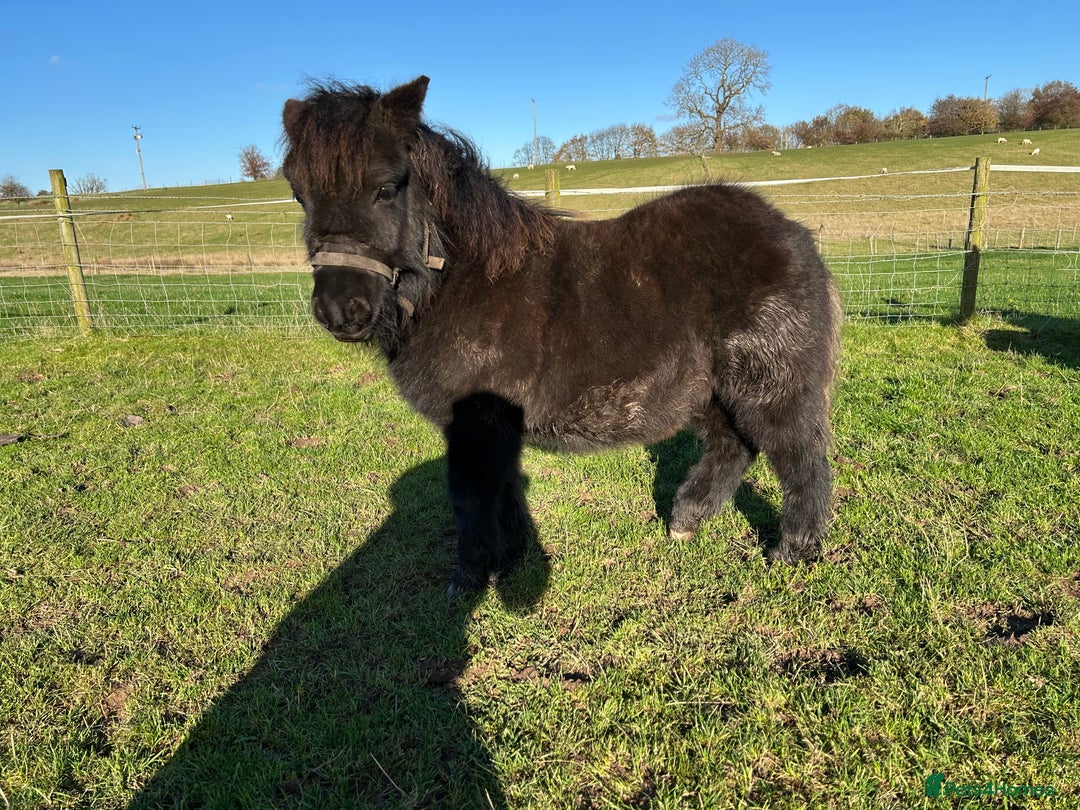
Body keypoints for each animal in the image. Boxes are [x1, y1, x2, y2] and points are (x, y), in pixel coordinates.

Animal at [282, 76, 842, 597]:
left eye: (387, 187)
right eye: (298, 194)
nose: (341, 311)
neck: (465, 282)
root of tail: (792, 233)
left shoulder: (473, 426)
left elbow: (470, 499)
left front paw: (469, 578)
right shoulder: (495, 426)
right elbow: (503, 492)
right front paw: (509, 560)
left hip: (770, 383)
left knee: (800, 459)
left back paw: (792, 551)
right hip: (714, 392)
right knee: (734, 448)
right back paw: (686, 522)